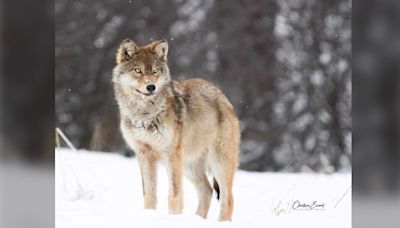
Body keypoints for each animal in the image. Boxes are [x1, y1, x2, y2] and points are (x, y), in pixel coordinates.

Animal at [111, 39, 239, 221]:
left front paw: (174, 217)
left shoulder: (170, 154)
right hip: (189, 165)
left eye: (155, 71)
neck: (145, 115)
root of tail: (222, 96)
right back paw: (197, 220)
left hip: (218, 163)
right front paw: (149, 215)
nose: (151, 87)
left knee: (227, 199)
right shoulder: (144, 154)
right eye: (138, 70)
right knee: (206, 191)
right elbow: (149, 193)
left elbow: (174, 195)